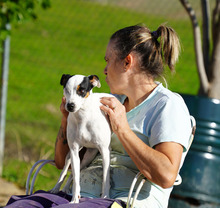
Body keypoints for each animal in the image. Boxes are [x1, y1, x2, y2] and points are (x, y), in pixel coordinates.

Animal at [51, 74, 113, 203]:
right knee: (67, 171)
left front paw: (105, 197)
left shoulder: (105, 151)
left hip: (89, 156)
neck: (83, 118)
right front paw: (74, 199)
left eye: (82, 91)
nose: (70, 105)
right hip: (73, 156)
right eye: (66, 90)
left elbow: (106, 177)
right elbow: (74, 176)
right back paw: (58, 188)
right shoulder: (74, 150)